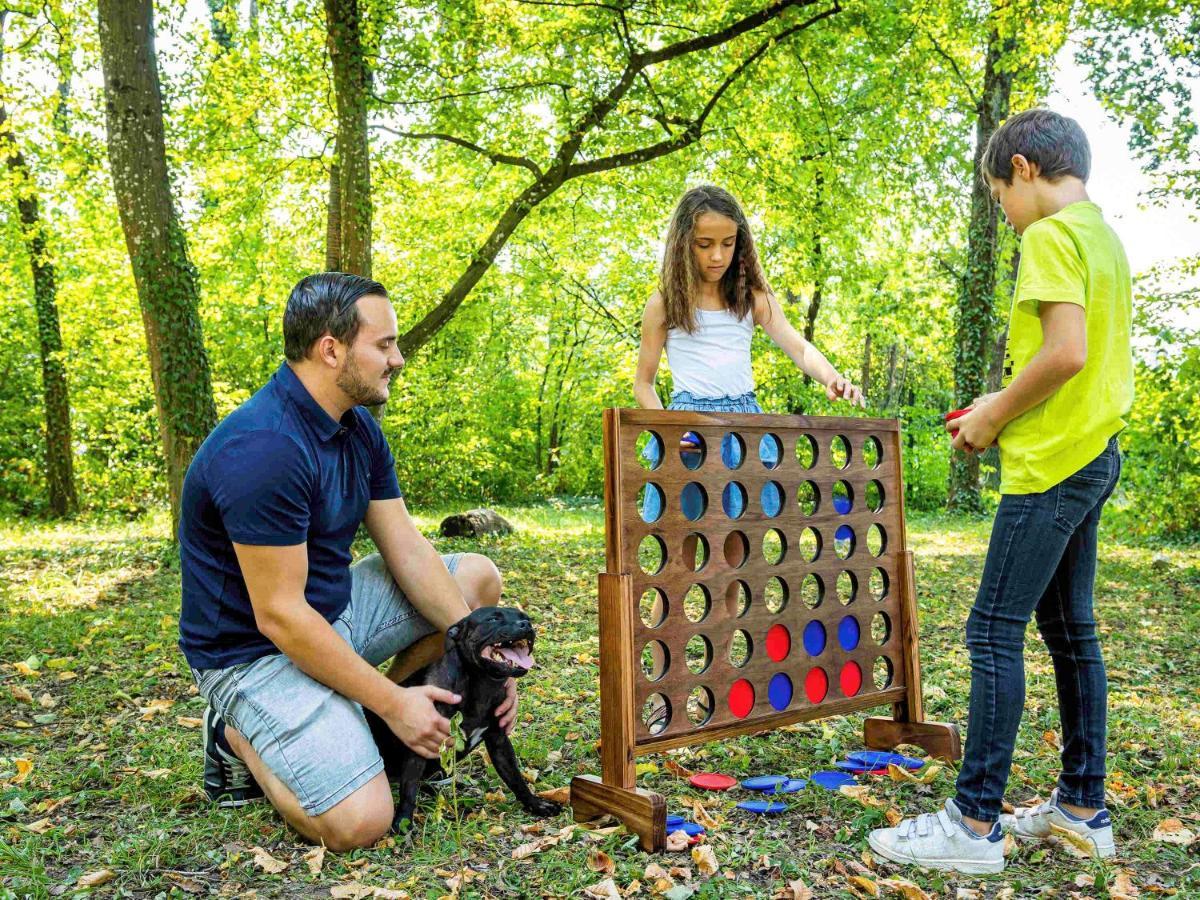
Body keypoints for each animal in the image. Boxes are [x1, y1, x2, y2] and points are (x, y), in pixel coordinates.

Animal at [362, 607, 564, 830]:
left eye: (525, 617)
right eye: (493, 619)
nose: (526, 625)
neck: (483, 686)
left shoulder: (499, 742)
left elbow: (515, 778)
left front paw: (535, 803)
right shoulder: (419, 744)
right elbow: (409, 788)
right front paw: (403, 821)